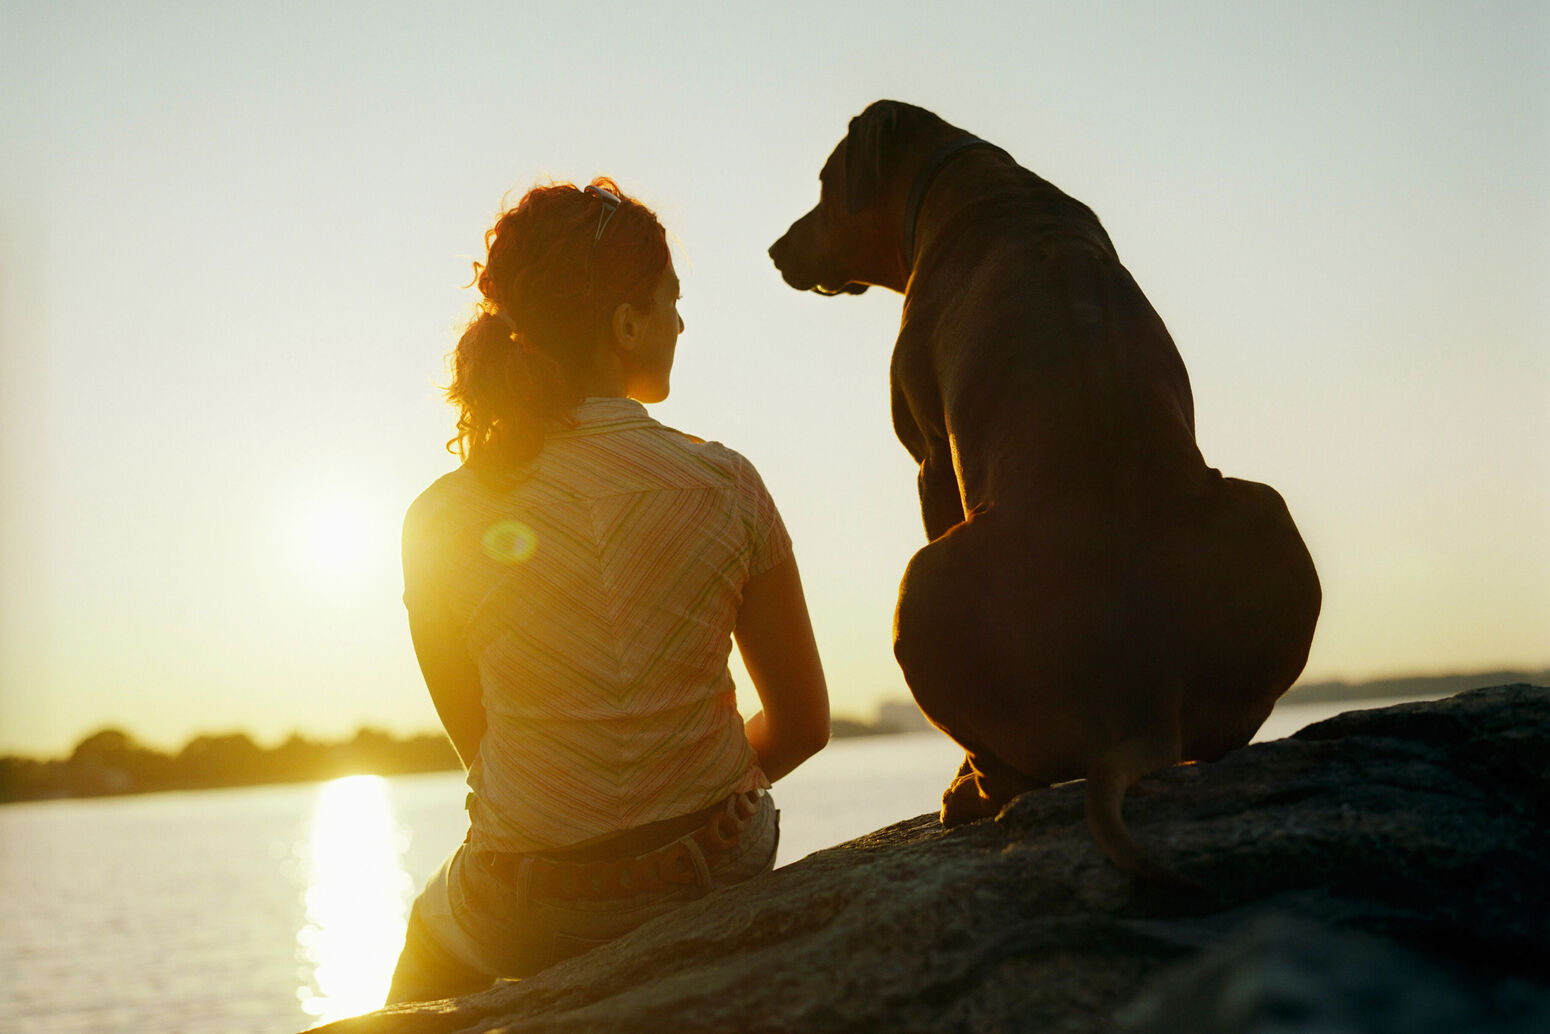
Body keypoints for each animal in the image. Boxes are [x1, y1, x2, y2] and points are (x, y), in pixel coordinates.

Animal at [762, 99, 1320, 892]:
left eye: (823, 184)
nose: (776, 249)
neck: (970, 183)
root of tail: (1146, 691)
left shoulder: (930, 458)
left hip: (919, 579)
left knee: (1008, 769)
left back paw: (968, 792)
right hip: (1267, 508)